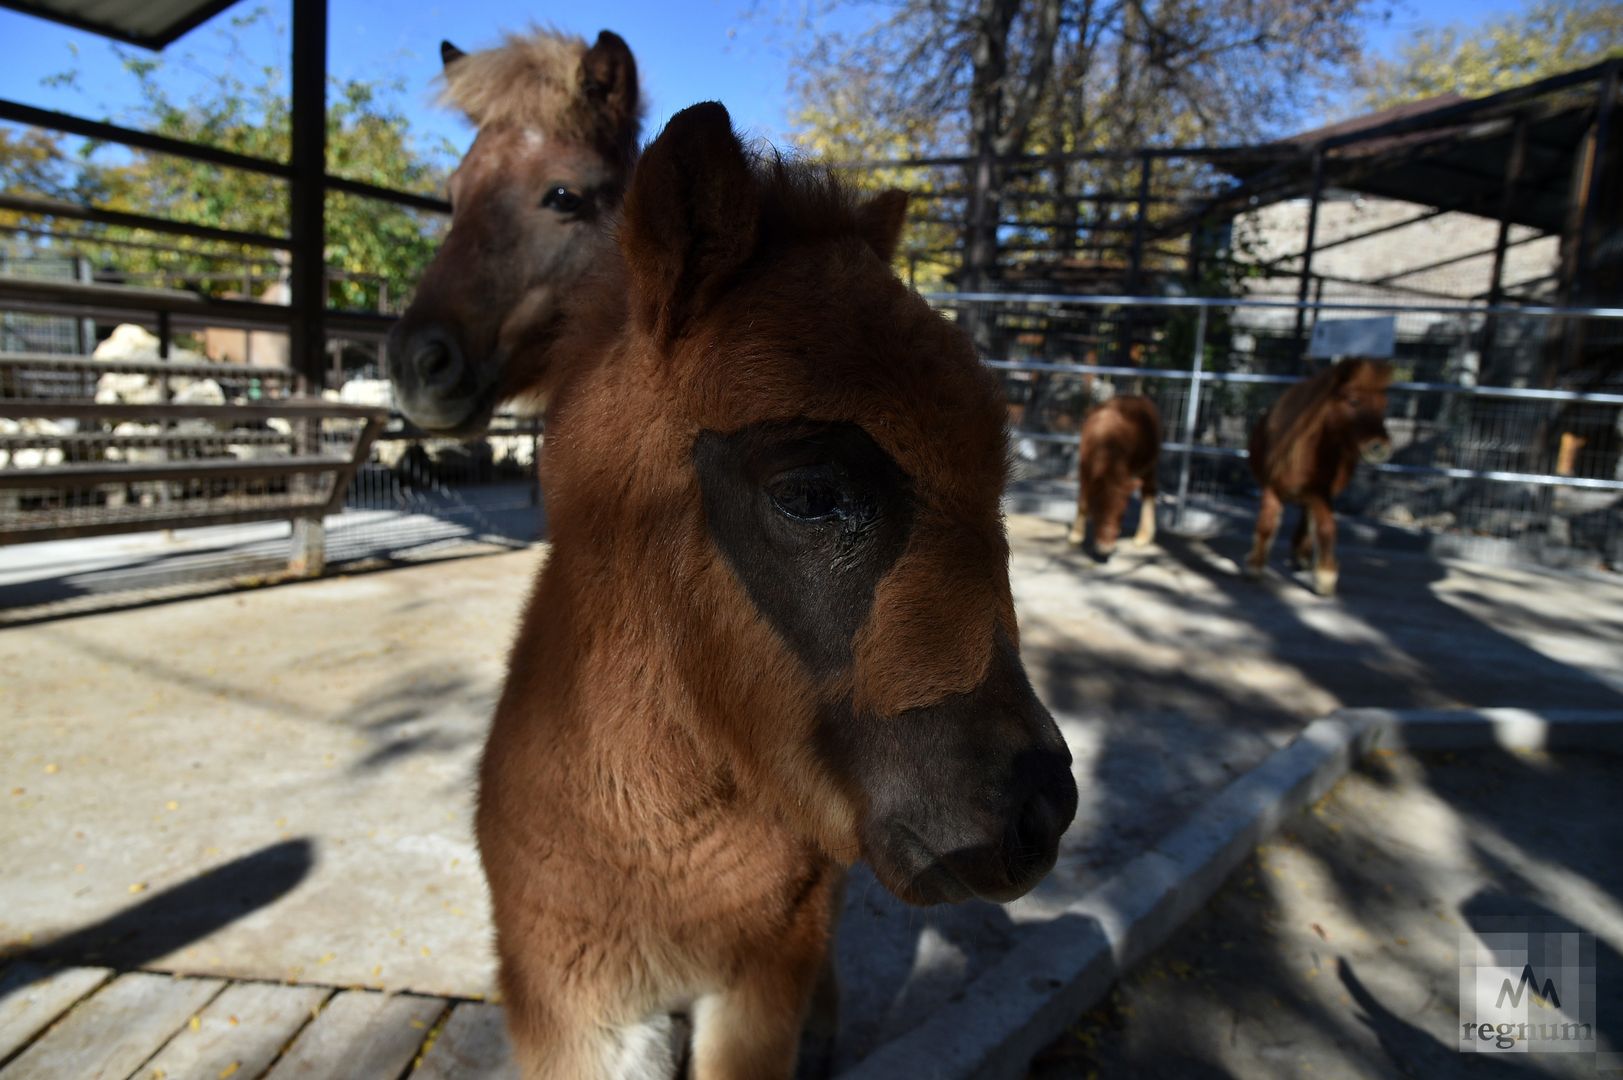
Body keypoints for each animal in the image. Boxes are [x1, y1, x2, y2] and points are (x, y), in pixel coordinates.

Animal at [1071, 397, 1162, 558]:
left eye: (1122, 514)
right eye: (1096, 513)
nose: (1105, 548)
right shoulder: (1084, 469)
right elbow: (1083, 500)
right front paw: (1076, 535)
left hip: (1150, 463)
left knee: (1149, 491)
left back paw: (1143, 536)